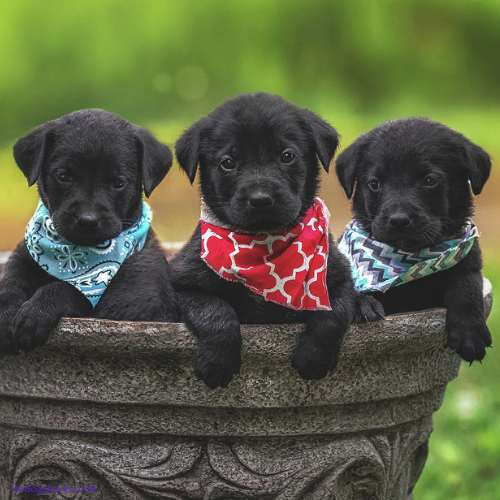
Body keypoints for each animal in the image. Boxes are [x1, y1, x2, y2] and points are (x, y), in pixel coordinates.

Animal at [171, 94, 356, 390]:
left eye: (287, 156)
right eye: (227, 162)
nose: (260, 199)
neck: (263, 247)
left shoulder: (339, 275)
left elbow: (334, 312)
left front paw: (314, 356)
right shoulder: (183, 283)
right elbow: (215, 310)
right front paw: (218, 362)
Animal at [336, 119, 492, 366]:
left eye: (430, 180)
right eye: (374, 184)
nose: (399, 220)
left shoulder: (469, 261)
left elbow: (466, 285)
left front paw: (471, 333)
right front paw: (361, 302)